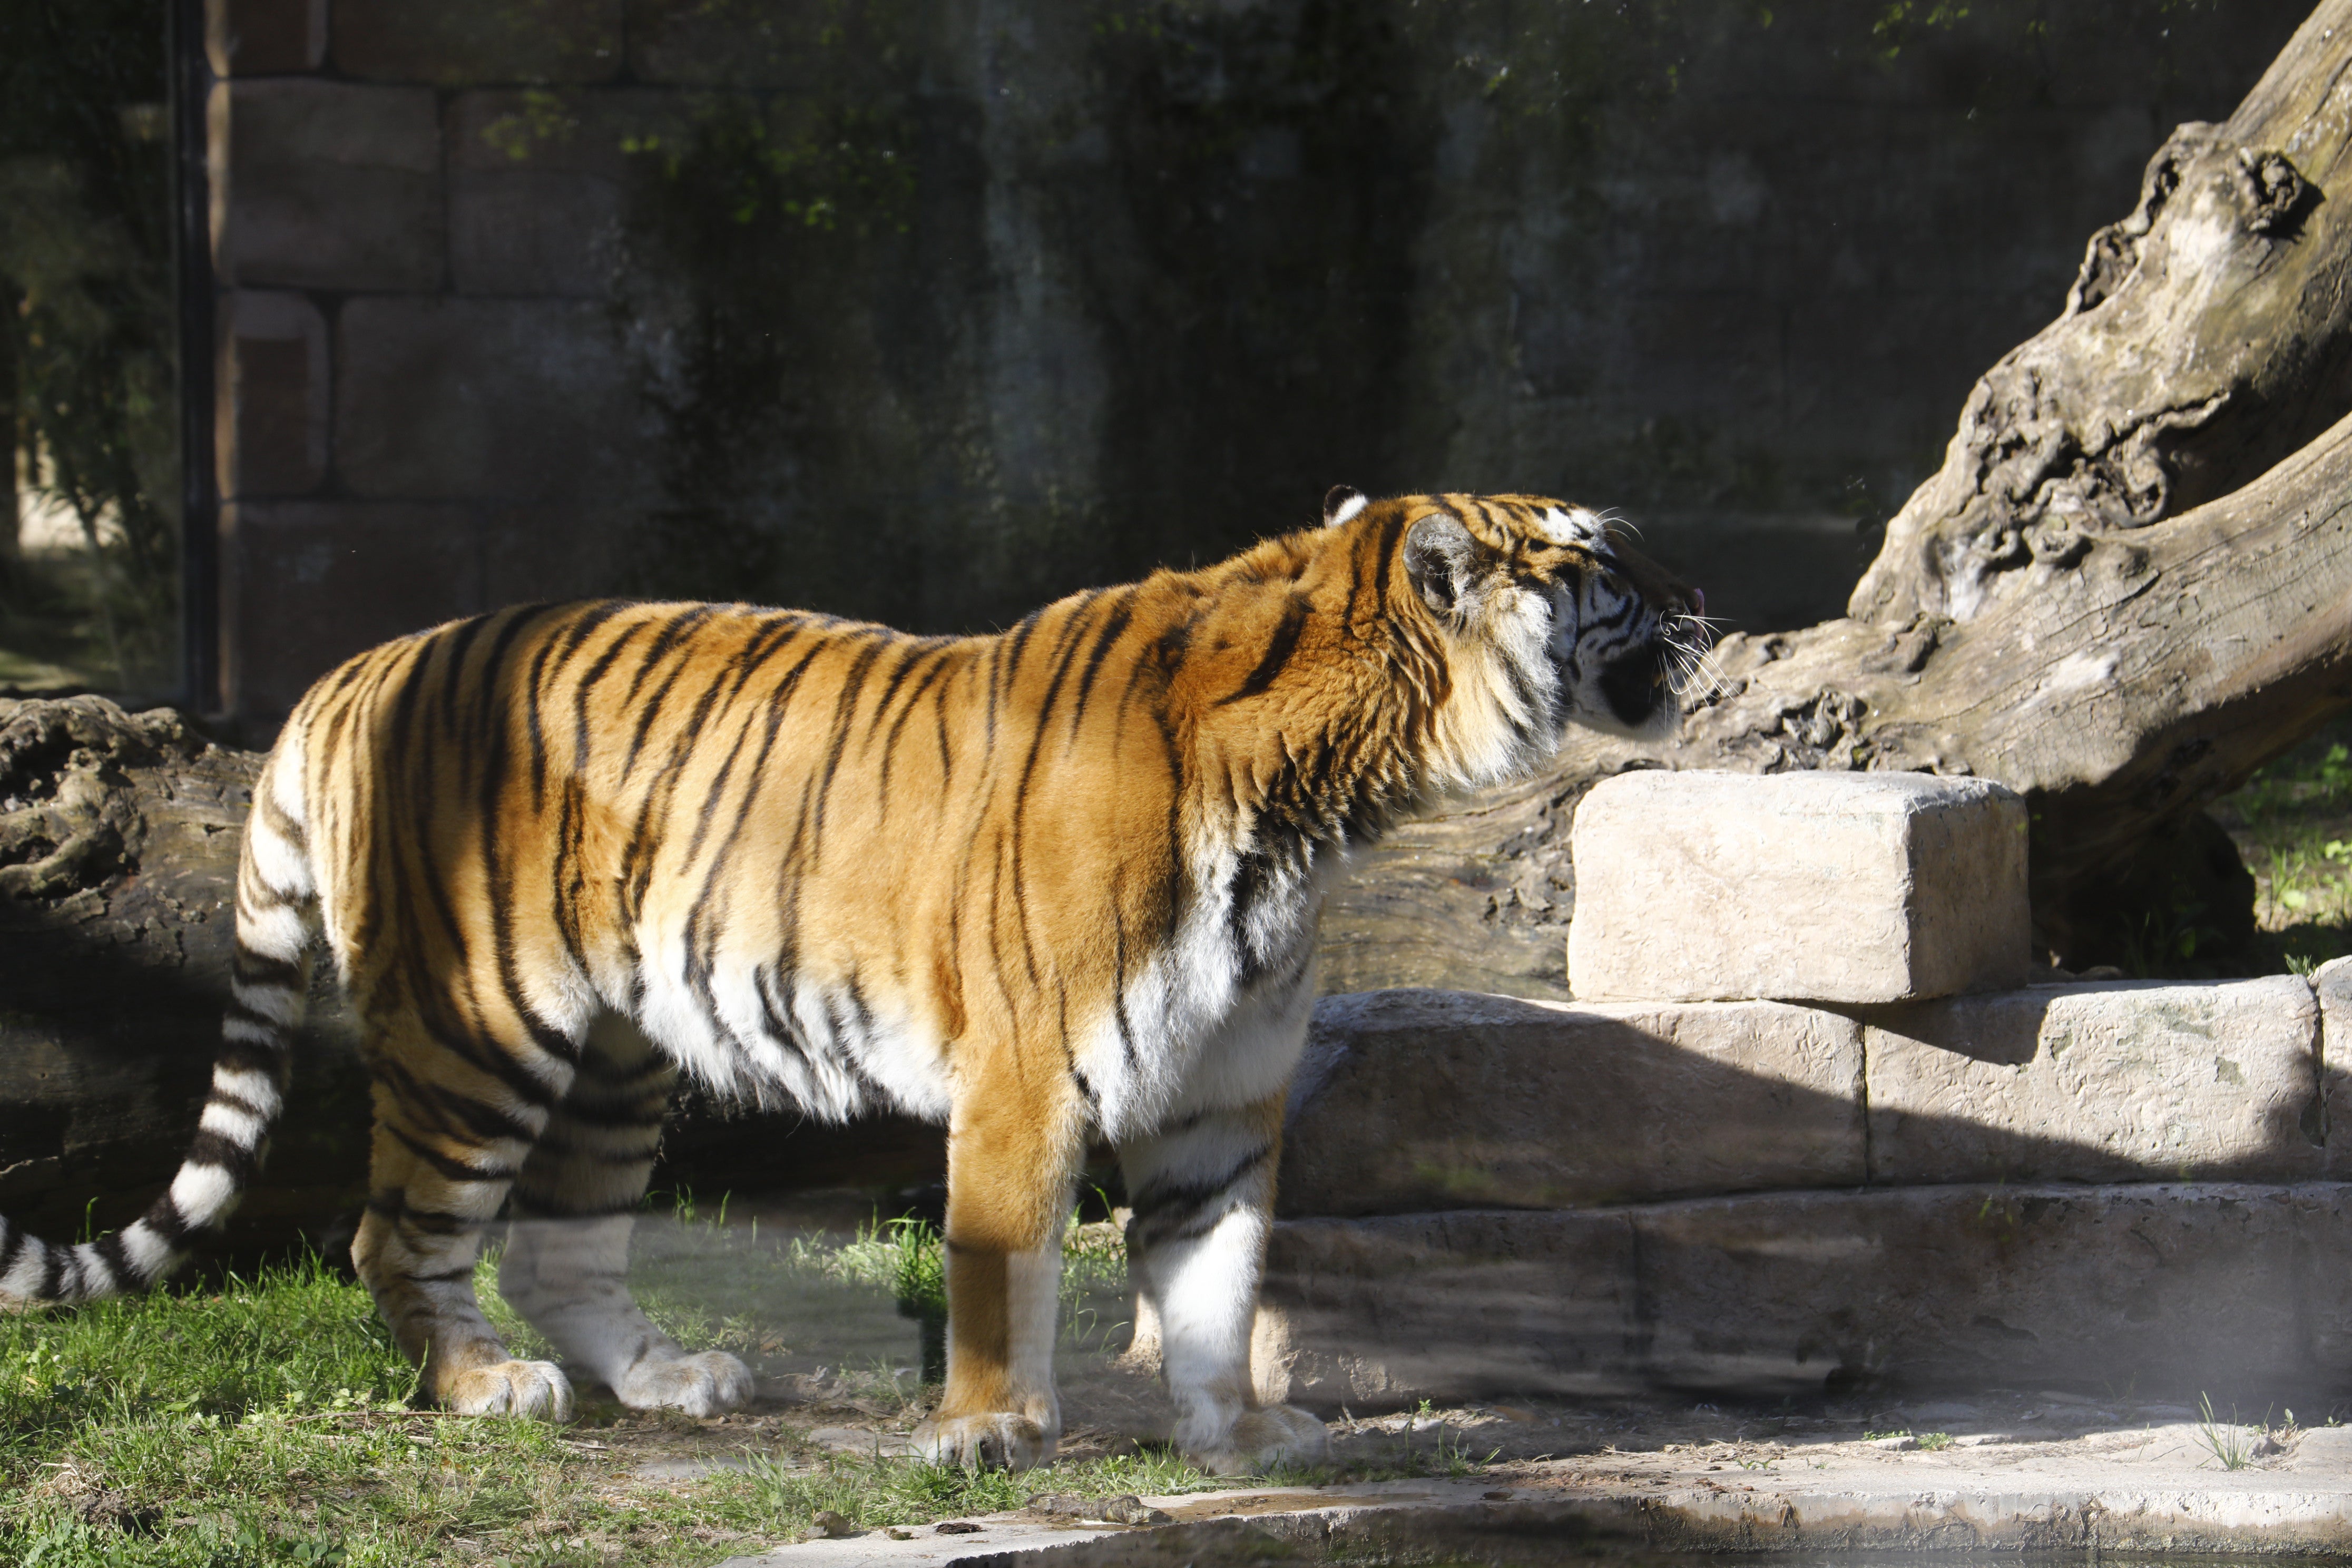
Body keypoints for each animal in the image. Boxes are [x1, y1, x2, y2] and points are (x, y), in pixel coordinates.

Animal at [0, 488, 1703, 1474]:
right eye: (1607, 560)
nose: (1704, 602)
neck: (1322, 803)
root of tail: (362, 664)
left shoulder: (1219, 1097)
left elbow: (1220, 1279)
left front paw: (1241, 1430)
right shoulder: (1028, 1068)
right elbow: (1001, 1264)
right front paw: (986, 1430)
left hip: (616, 1054)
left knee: (562, 1244)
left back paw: (670, 1377)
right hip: (480, 1031)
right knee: (395, 1232)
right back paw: (486, 1387)